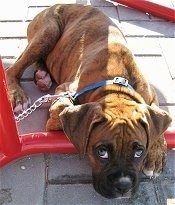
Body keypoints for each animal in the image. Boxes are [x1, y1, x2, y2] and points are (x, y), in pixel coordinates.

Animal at [5, 3, 171, 199]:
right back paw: (19, 94)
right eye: (102, 152)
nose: (123, 186)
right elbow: (62, 107)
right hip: (49, 31)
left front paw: (156, 154)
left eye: (139, 151)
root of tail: (54, 5)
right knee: (14, 68)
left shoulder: (151, 95)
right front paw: (55, 120)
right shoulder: (65, 89)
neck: (116, 84)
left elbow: (159, 119)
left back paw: (42, 76)